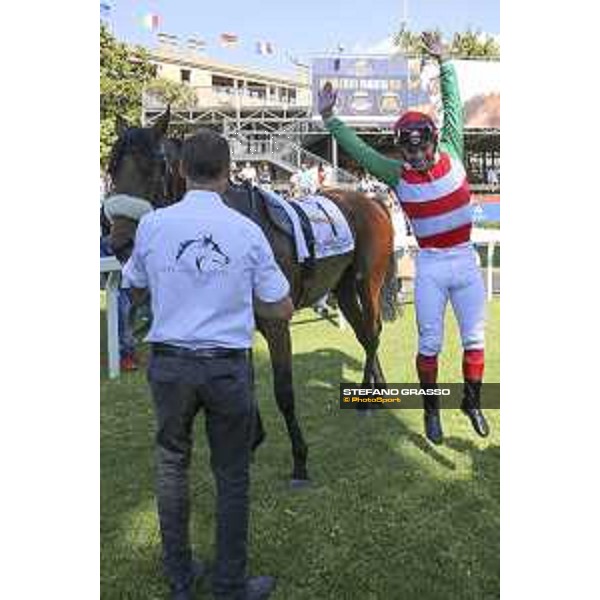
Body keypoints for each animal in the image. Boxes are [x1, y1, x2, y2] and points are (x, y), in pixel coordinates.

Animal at [106, 113, 398, 488]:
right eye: (113, 168)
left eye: (154, 168)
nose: (120, 244)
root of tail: (372, 201)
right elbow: (244, 384)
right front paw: (250, 442)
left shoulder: (276, 323)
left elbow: (283, 390)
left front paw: (300, 459)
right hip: (343, 287)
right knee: (364, 334)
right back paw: (376, 390)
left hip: (367, 282)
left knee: (373, 333)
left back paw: (366, 400)